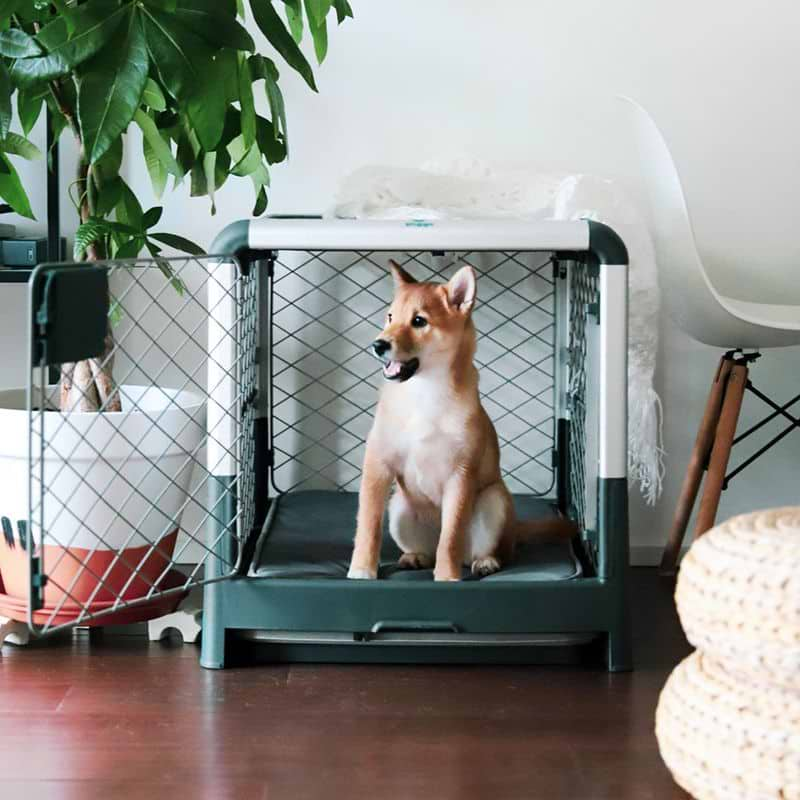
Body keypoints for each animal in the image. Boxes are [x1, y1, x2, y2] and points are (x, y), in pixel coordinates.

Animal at [346, 262, 580, 580]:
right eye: (390, 316)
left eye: (419, 321)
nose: (378, 344)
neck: (423, 393)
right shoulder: (378, 464)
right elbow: (368, 527)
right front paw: (361, 569)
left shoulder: (460, 474)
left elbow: (451, 538)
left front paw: (447, 576)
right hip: (399, 506)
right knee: (427, 550)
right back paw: (414, 557)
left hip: (493, 501)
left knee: (488, 551)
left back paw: (486, 562)